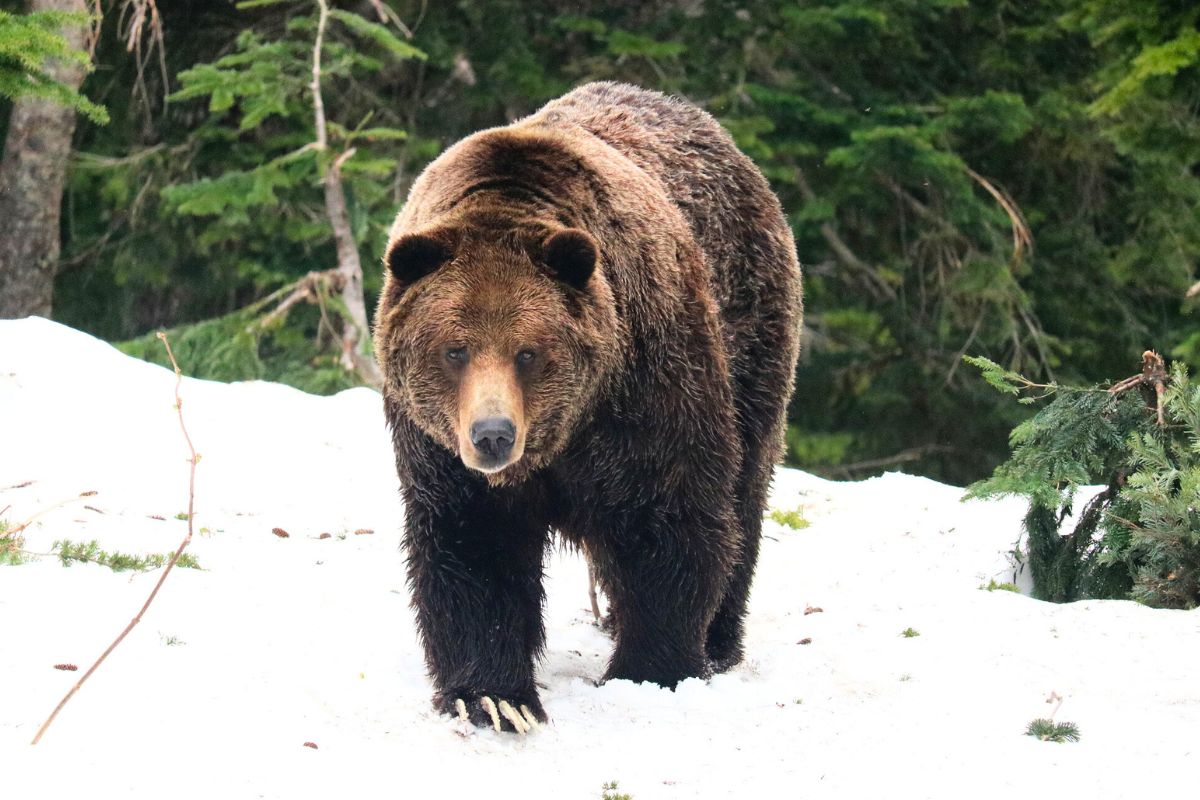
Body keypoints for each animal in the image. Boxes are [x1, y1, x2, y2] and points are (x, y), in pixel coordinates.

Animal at [372, 81, 806, 734]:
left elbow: (666, 520)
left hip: (751, 335)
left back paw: (719, 641)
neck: (559, 436)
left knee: (744, 490)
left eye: (528, 351)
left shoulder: (642, 387)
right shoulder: (439, 449)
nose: (493, 434)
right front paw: (494, 697)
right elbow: (473, 547)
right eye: (455, 349)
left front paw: (650, 668)